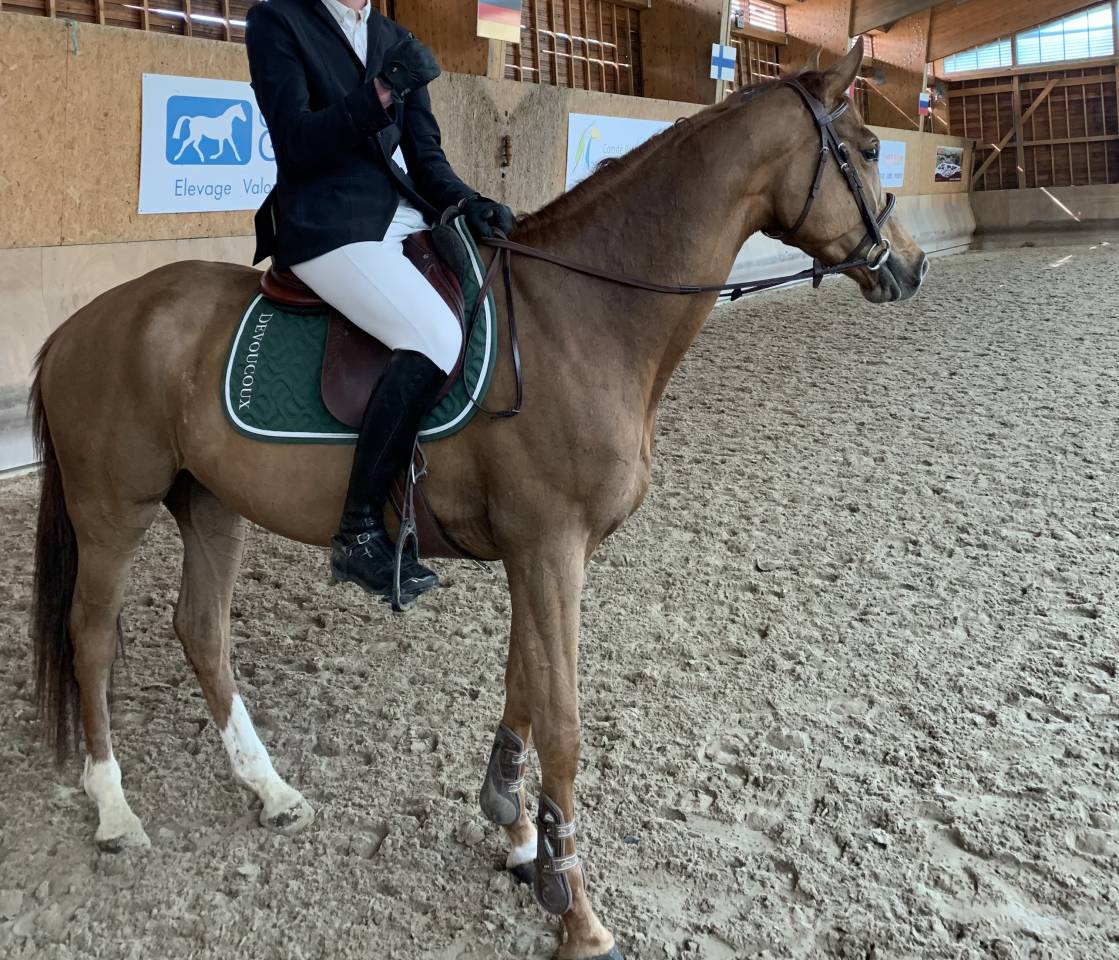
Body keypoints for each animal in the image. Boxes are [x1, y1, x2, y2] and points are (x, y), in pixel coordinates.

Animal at [29, 44, 926, 960]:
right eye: (863, 150)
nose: (909, 263)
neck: (584, 315)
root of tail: (79, 326)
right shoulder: (549, 547)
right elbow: (561, 719)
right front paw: (575, 910)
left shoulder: (543, 551)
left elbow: (521, 683)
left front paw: (519, 834)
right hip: (113, 510)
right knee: (91, 639)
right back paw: (115, 813)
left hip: (209, 502)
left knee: (201, 631)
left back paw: (270, 792)